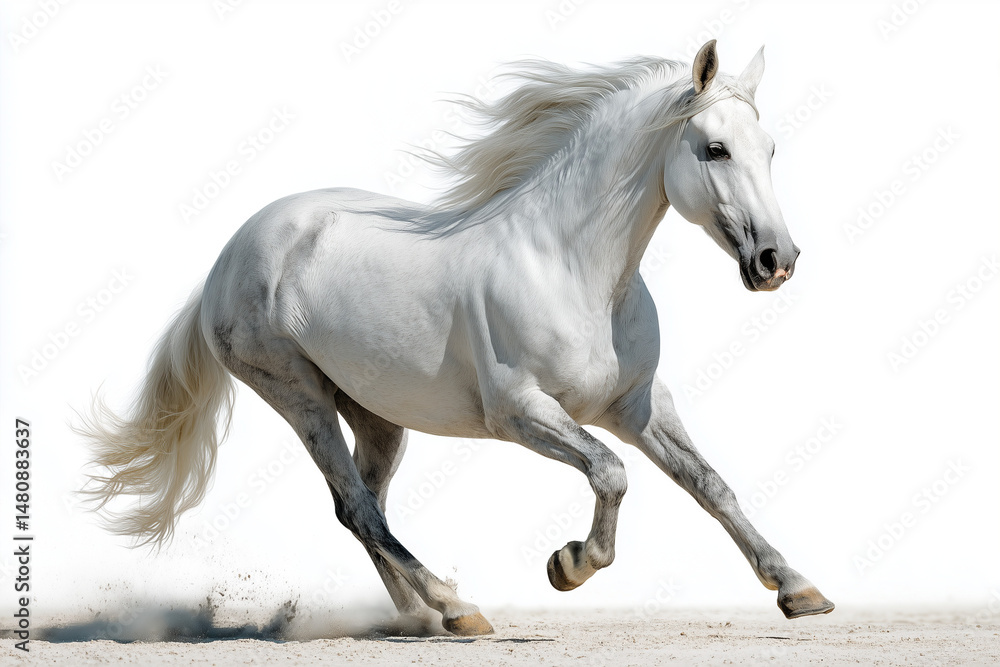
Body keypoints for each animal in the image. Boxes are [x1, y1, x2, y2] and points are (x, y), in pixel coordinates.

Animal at [79, 40, 834, 636]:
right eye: (715, 148)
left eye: (770, 148)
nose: (777, 260)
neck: (573, 269)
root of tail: (229, 254)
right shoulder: (521, 412)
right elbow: (611, 473)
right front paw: (568, 564)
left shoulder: (638, 404)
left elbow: (711, 485)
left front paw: (799, 589)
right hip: (298, 397)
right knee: (358, 506)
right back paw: (454, 607)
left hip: (376, 416)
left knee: (364, 507)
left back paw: (418, 616)